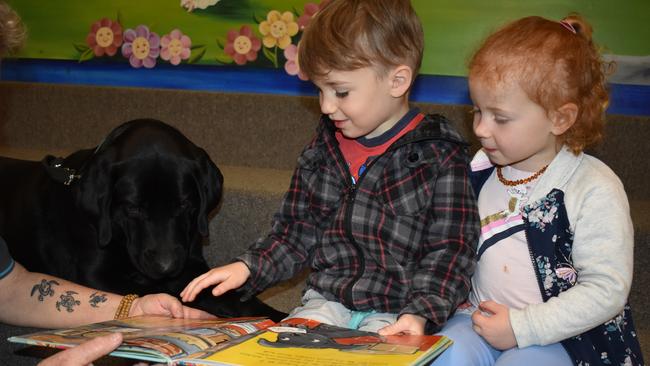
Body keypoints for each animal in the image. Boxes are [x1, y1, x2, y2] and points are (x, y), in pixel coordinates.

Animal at [0, 119, 284, 320]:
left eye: (184, 205)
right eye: (133, 208)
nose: (166, 267)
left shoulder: (191, 264)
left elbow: (227, 292)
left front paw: (276, 316)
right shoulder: (95, 275)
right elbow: (166, 293)